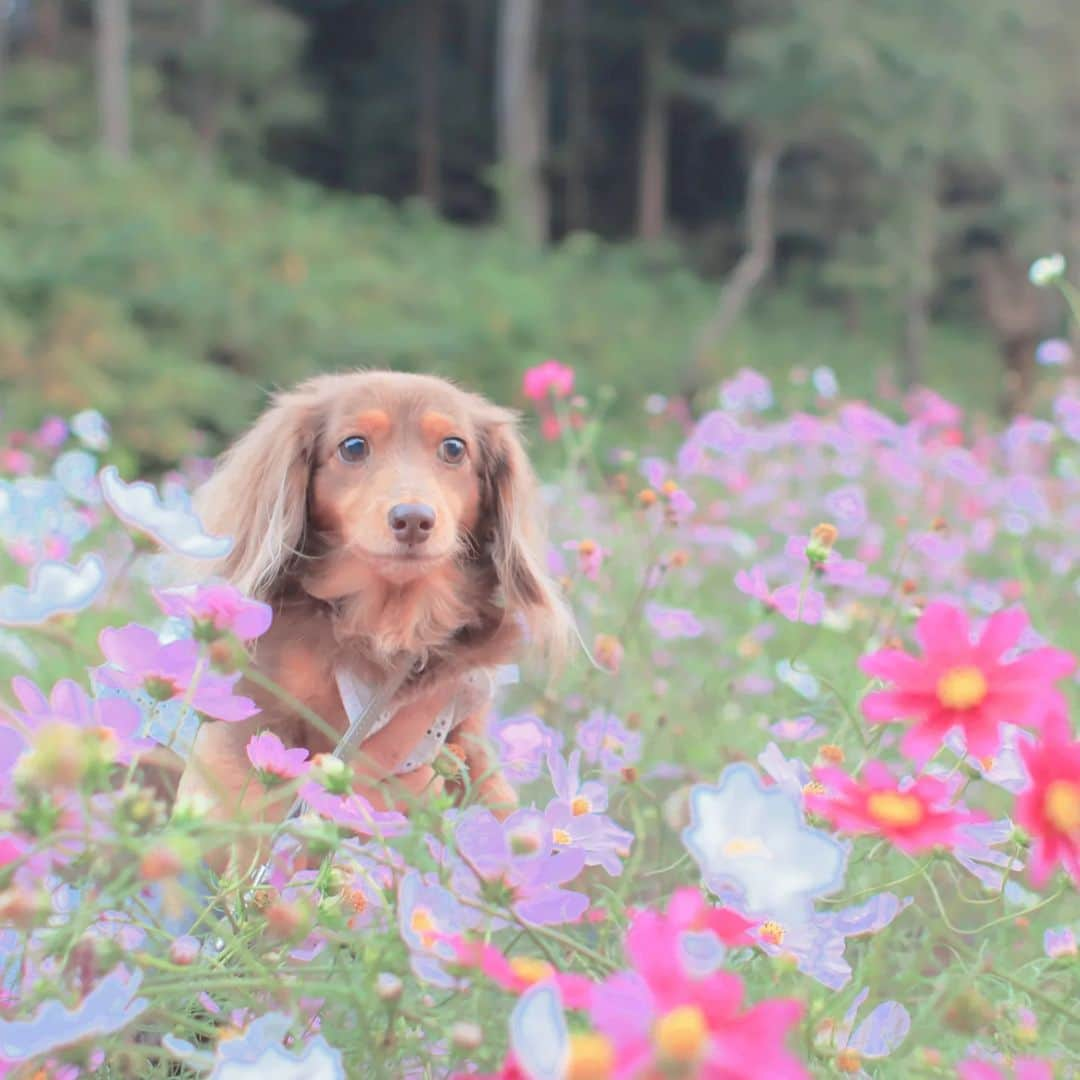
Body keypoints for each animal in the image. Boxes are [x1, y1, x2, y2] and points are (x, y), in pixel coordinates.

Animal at [174, 371, 574, 868]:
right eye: (353, 446)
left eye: (454, 448)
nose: (414, 519)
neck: (390, 626)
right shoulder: (260, 719)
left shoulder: (464, 731)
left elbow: (492, 801)